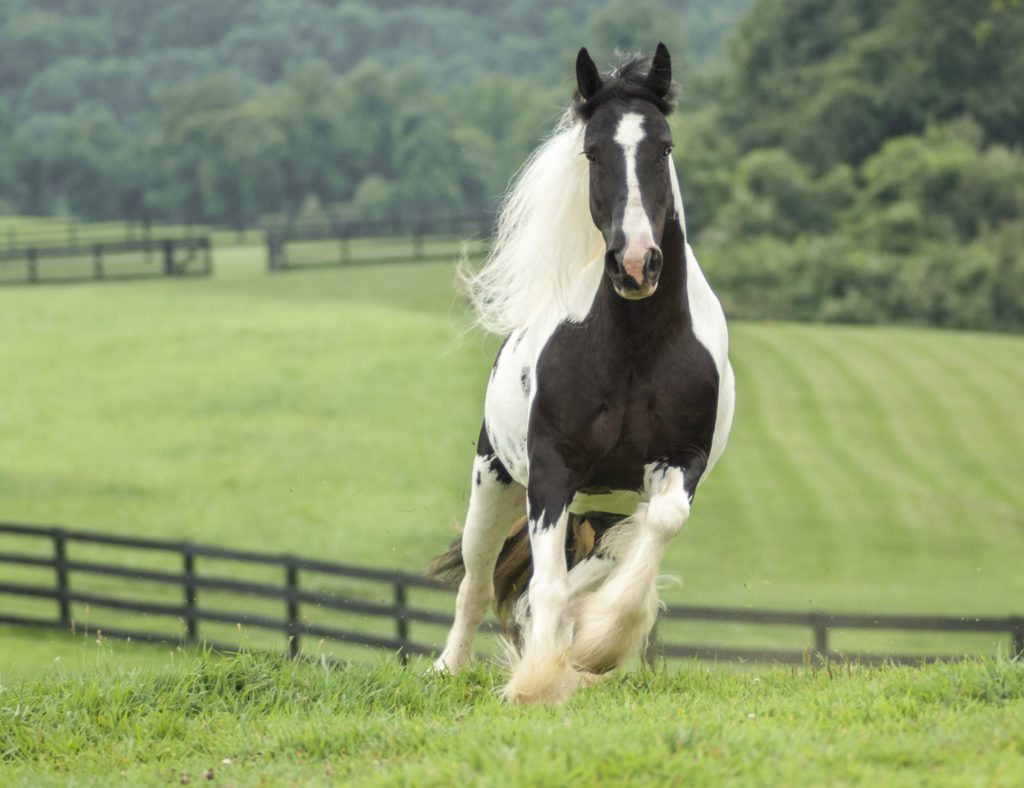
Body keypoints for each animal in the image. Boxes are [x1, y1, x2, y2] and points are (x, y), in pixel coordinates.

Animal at [428, 44, 733, 704]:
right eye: (593, 151)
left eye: (664, 146)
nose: (636, 264)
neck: (634, 349)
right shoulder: (551, 468)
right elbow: (543, 584)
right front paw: (536, 680)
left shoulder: (681, 462)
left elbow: (651, 531)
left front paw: (597, 645)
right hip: (493, 479)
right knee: (477, 579)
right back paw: (447, 667)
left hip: (603, 502)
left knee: (598, 555)